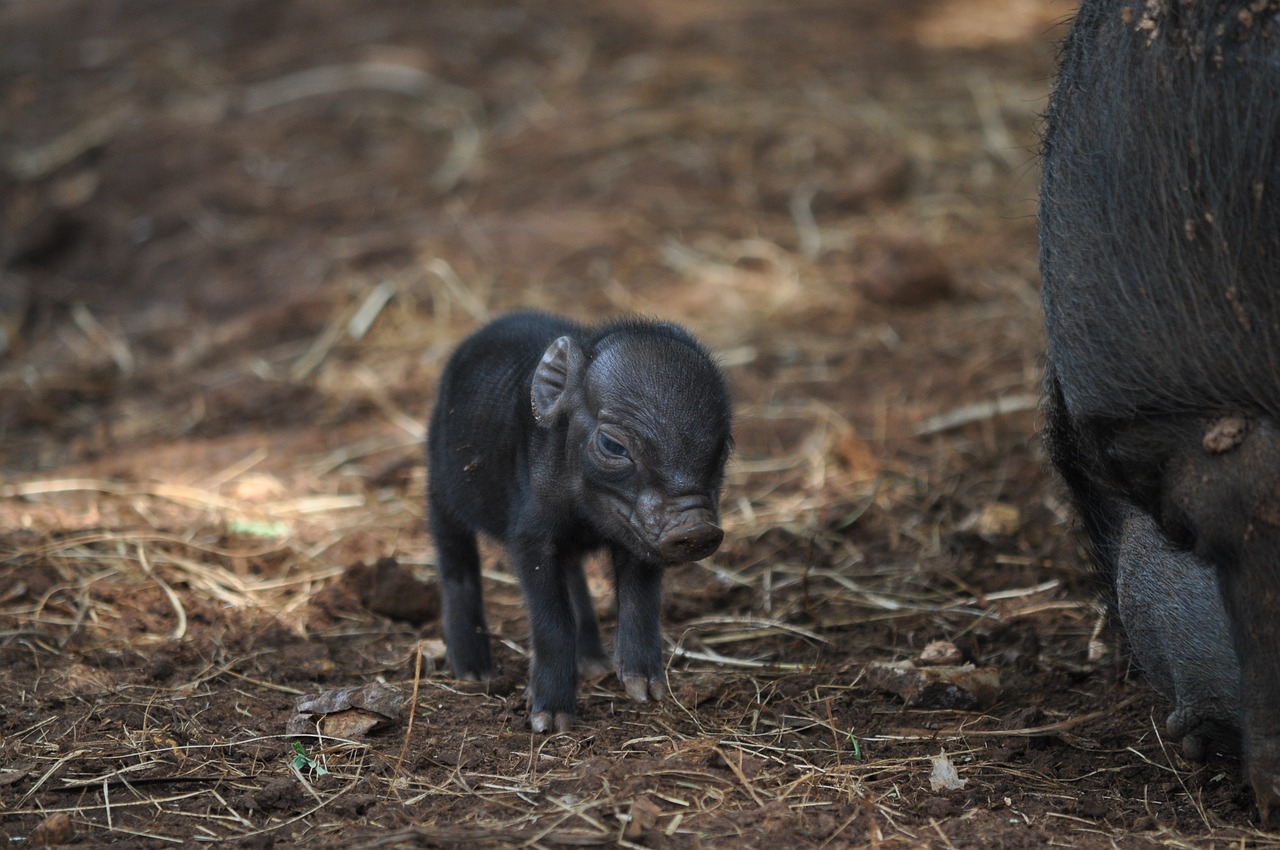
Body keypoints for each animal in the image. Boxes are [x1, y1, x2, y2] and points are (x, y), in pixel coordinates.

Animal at [427, 311, 732, 732]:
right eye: (613, 446)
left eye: (723, 449)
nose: (697, 527)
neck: (586, 517)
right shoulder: (530, 535)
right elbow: (553, 618)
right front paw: (549, 722)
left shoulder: (638, 533)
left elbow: (639, 598)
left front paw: (646, 692)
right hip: (438, 484)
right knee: (456, 564)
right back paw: (474, 674)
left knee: (573, 576)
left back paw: (594, 666)